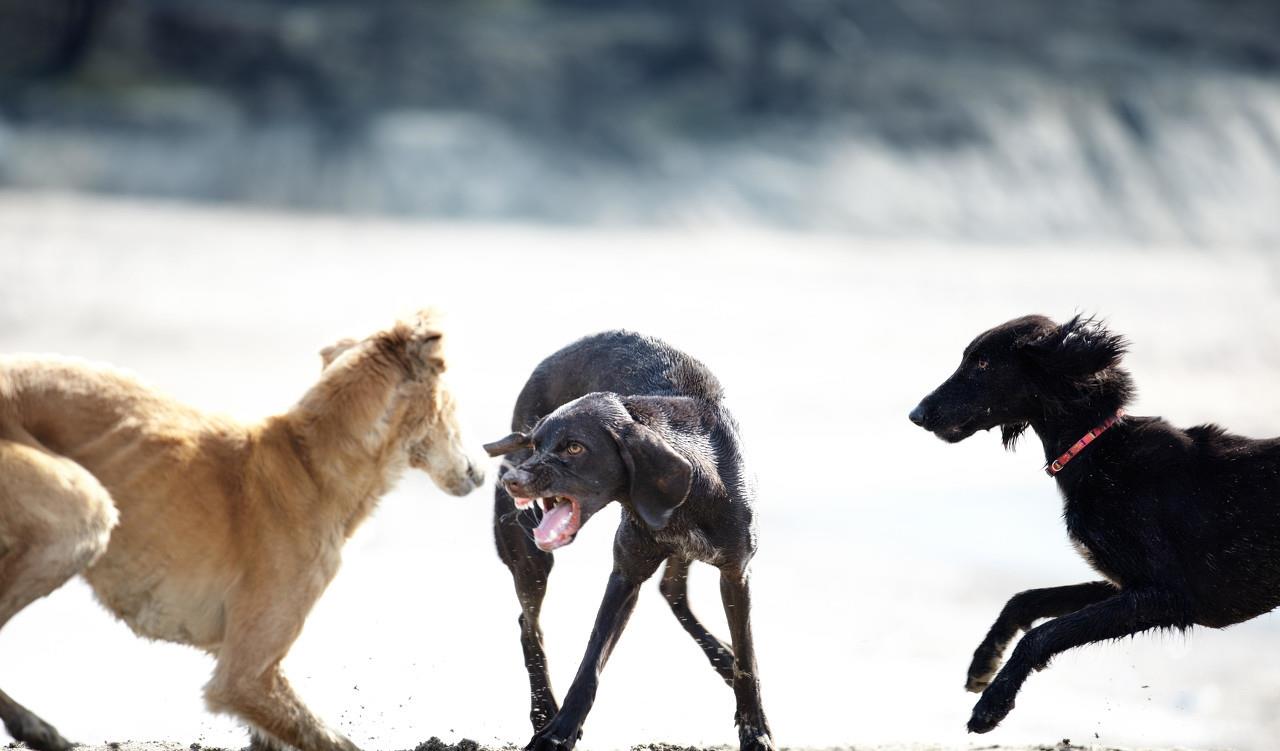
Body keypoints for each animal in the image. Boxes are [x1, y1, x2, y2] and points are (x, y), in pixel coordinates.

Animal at [0, 309, 483, 751]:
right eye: (455, 405)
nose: (480, 470)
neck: (312, 465)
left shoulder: (249, 674)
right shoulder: (244, 676)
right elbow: (331, 740)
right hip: (82, 513)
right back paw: (34, 726)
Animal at [483, 332, 773, 751]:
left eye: (575, 447)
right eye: (536, 445)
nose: (511, 480)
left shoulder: (736, 573)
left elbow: (747, 660)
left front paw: (755, 730)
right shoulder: (625, 576)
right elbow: (589, 665)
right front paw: (558, 732)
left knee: (672, 592)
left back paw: (723, 657)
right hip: (529, 557)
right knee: (528, 624)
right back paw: (542, 709)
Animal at [906, 313, 1280, 736]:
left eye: (982, 363)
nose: (916, 414)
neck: (1101, 453)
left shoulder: (1167, 594)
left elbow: (1044, 633)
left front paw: (992, 704)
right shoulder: (1125, 583)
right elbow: (1025, 600)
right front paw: (984, 662)